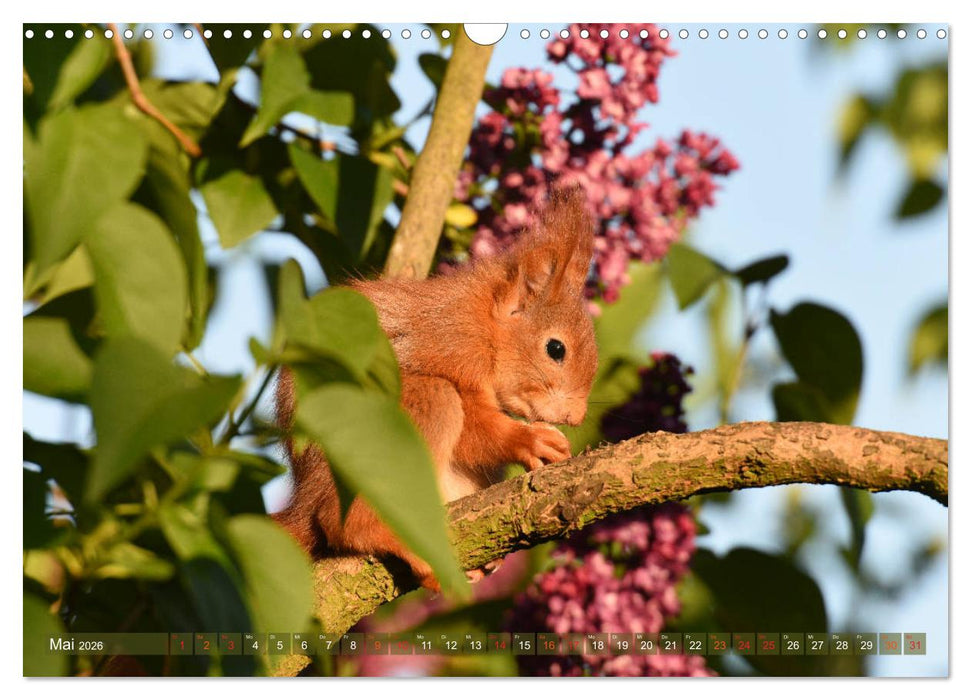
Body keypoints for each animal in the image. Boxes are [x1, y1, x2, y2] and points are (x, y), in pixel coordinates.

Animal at [273, 189, 599, 591]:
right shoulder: (452, 347)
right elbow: (475, 430)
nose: (577, 416)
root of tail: (305, 495)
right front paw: (529, 440)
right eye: (556, 349)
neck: (484, 324)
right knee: (340, 521)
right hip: (406, 412)